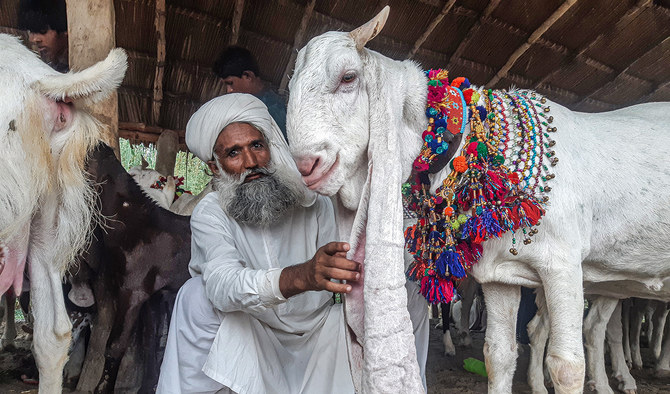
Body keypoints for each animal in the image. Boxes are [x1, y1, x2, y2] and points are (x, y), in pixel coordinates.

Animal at [290, 6, 670, 394]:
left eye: (348, 77)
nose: (307, 165)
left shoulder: (563, 264)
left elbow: (567, 367)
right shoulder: (501, 277)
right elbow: (498, 355)